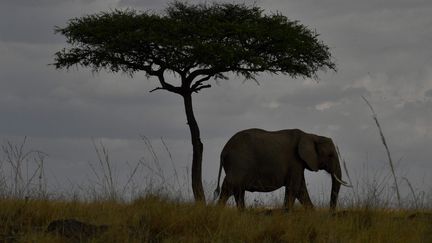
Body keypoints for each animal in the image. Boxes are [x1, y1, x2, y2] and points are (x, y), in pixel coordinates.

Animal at [213, 128, 352, 210]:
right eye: (330, 155)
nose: (331, 212)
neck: (311, 136)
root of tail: (223, 151)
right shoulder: (295, 161)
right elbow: (294, 188)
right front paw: (286, 213)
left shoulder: (298, 164)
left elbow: (301, 190)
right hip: (238, 163)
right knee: (229, 187)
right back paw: (219, 212)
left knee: (237, 191)